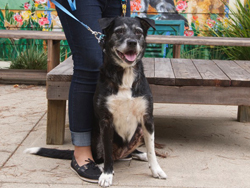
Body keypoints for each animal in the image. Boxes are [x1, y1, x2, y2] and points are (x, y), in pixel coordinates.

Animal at [24, 16, 166, 187]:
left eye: (138, 32)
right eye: (119, 31)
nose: (132, 42)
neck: (125, 74)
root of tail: (121, 153)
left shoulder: (147, 118)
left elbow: (151, 148)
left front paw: (156, 169)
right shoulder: (106, 121)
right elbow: (107, 153)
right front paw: (107, 175)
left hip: (138, 130)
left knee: (131, 152)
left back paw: (139, 154)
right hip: (97, 137)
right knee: (102, 156)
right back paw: (99, 165)